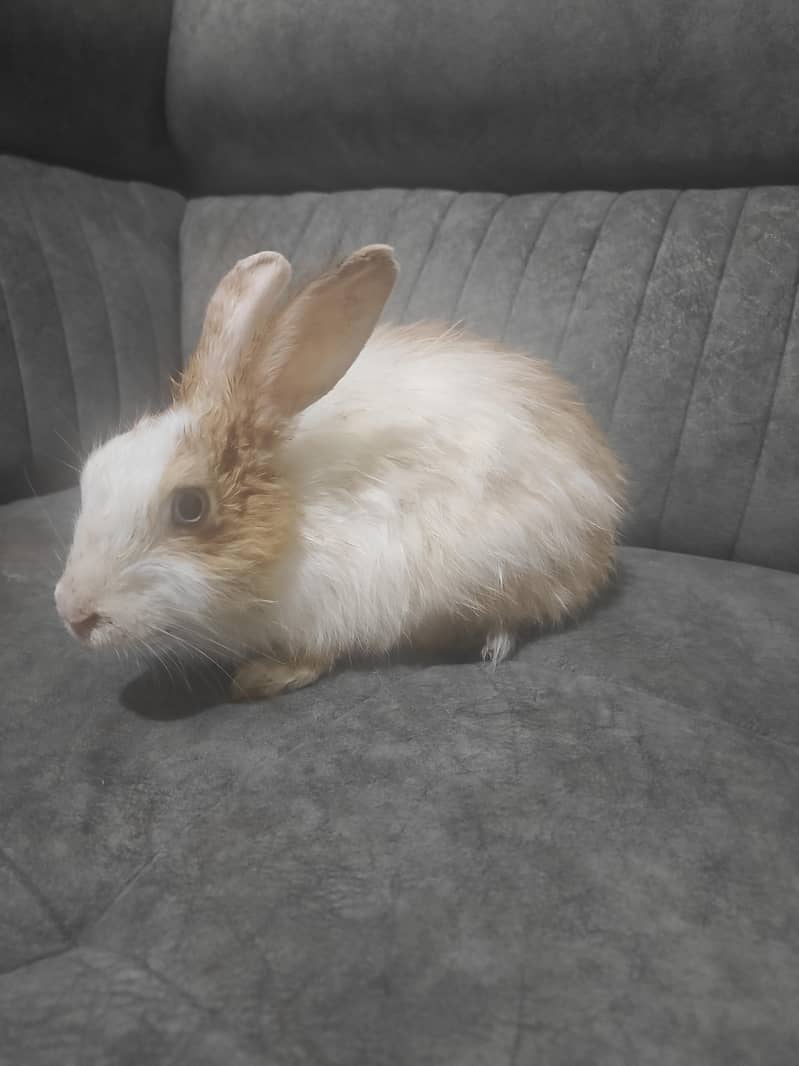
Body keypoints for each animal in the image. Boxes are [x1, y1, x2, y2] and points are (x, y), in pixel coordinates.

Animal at [54, 244, 625, 700]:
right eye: (93, 472)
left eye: (189, 507)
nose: (74, 614)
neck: (293, 515)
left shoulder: (338, 607)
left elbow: (312, 656)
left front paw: (260, 679)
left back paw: (490, 640)